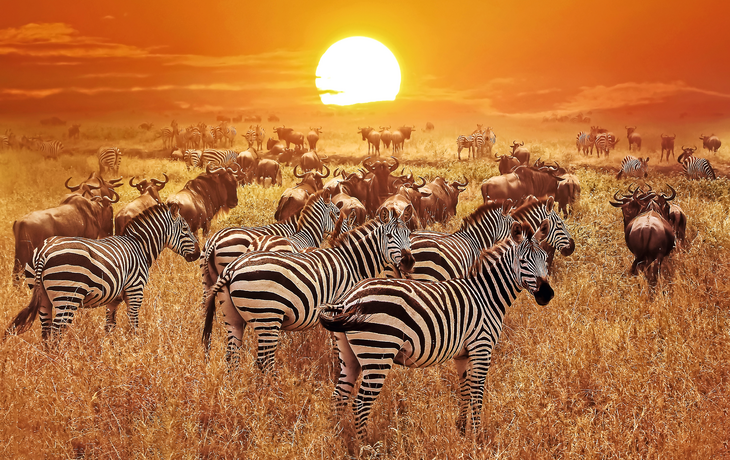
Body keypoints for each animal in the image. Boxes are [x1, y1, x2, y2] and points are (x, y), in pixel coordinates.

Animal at [5, 204, 200, 341]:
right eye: (185, 229)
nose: (198, 254)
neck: (139, 247)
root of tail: (44, 252)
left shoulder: (113, 299)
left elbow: (109, 327)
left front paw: (111, 352)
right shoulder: (135, 291)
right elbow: (133, 324)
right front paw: (134, 350)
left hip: (43, 297)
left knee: (46, 333)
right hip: (67, 296)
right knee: (56, 333)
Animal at [201, 208, 415, 371]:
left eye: (409, 235)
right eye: (389, 236)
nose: (409, 262)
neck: (351, 262)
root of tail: (232, 269)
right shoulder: (339, 309)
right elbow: (337, 346)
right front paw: (336, 369)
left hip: (233, 316)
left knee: (232, 354)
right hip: (268, 316)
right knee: (264, 360)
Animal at [319, 220, 553, 443]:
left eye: (545, 258)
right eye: (523, 261)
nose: (547, 295)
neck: (486, 295)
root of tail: (347, 300)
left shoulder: (462, 354)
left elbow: (465, 391)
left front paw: (462, 430)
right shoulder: (481, 347)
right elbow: (477, 394)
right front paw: (478, 437)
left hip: (349, 355)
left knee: (339, 397)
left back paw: (339, 440)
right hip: (378, 351)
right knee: (360, 404)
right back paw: (366, 448)